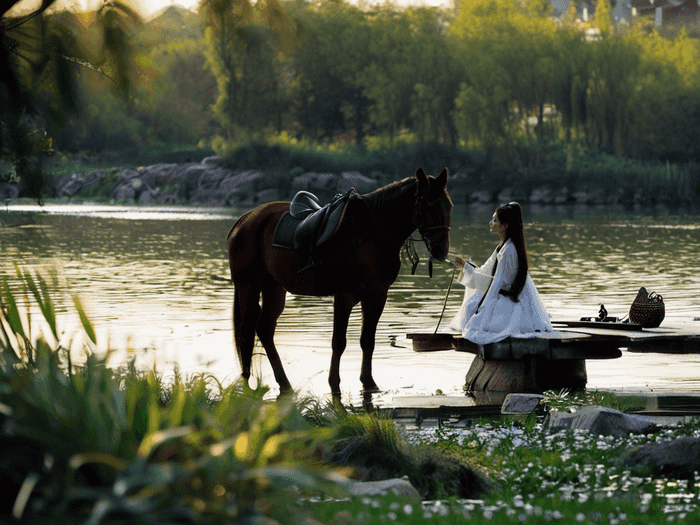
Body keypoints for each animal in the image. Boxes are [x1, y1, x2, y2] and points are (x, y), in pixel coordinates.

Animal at [227, 168, 452, 398]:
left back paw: (284, 383)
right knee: (246, 331)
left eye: (449, 205)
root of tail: (244, 220)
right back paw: (246, 381)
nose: (440, 250)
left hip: (273, 288)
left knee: (264, 330)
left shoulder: (376, 295)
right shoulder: (344, 295)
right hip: (248, 286)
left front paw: (368, 381)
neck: (370, 233)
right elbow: (339, 342)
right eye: (428, 204)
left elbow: (367, 341)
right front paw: (334, 384)